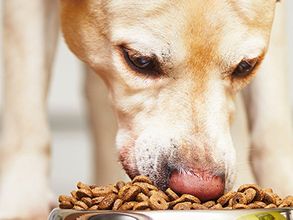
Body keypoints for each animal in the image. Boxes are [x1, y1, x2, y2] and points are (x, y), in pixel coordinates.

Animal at [0, 0, 292, 219]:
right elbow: (27, 117)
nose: (199, 186)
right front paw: (24, 205)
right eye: (139, 60)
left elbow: (273, 127)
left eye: (246, 66)